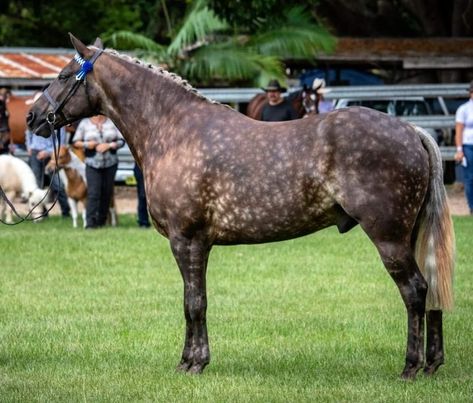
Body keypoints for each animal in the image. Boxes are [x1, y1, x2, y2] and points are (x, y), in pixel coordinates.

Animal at [26, 34, 454, 378]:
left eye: (65, 75)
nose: (32, 116)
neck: (173, 130)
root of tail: (412, 131)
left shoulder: (187, 240)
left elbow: (193, 303)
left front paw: (193, 364)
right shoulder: (199, 243)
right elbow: (194, 302)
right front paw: (191, 360)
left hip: (389, 238)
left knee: (415, 290)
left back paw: (411, 367)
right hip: (409, 235)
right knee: (431, 289)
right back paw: (432, 364)